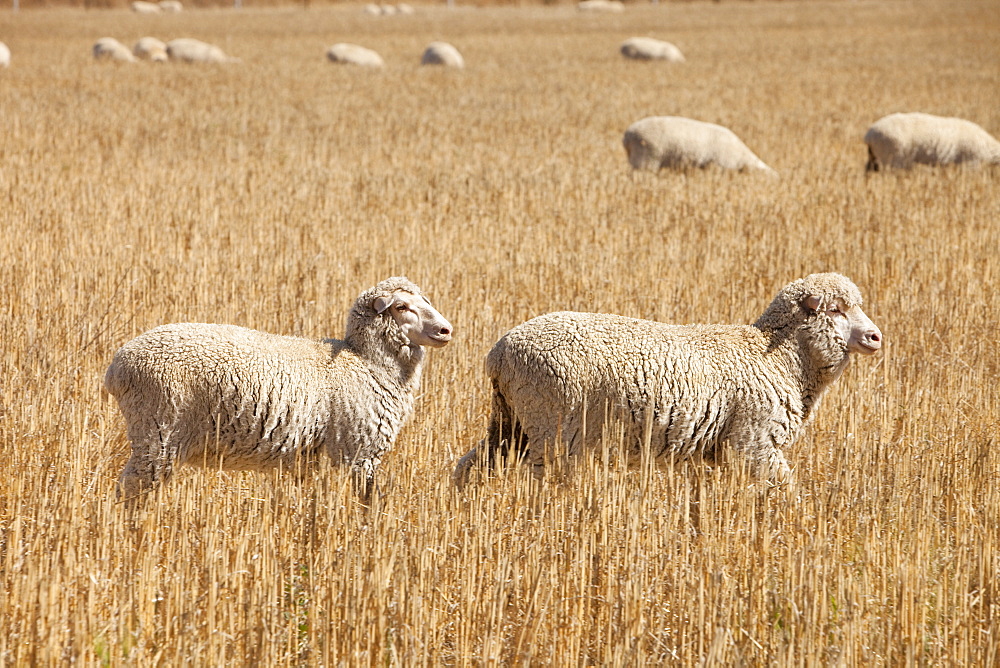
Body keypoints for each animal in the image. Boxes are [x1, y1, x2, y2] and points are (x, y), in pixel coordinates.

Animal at [104, 276, 454, 500]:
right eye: (401, 307)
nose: (445, 330)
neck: (364, 361)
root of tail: (117, 366)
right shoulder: (357, 451)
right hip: (158, 431)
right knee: (130, 489)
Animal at [454, 274, 884, 488]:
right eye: (836, 310)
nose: (876, 337)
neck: (778, 356)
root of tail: (500, 352)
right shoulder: (752, 443)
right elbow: (786, 491)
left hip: (511, 422)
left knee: (472, 463)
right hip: (552, 430)